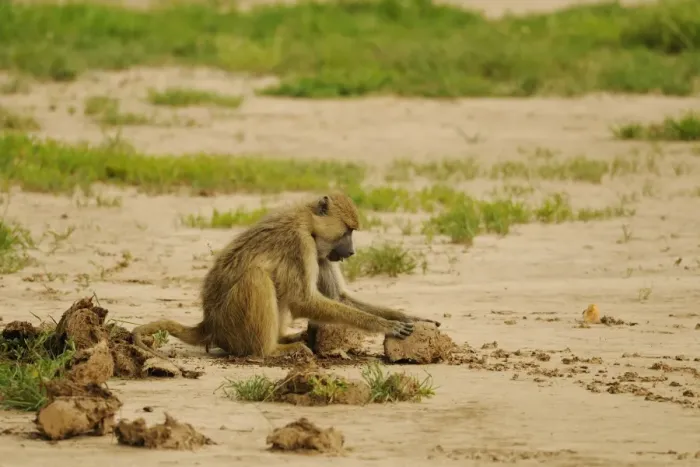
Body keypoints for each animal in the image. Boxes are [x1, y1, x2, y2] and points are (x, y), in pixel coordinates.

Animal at [132, 192, 436, 363]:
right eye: (348, 231)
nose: (351, 252)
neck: (309, 224)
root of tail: (209, 323)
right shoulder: (300, 244)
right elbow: (303, 301)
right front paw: (386, 326)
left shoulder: (321, 254)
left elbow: (339, 297)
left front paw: (408, 317)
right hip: (232, 327)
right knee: (256, 277)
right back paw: (272, 351)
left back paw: (289, 339)